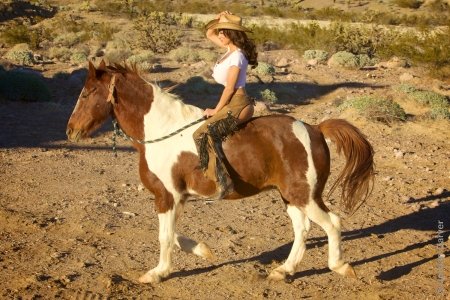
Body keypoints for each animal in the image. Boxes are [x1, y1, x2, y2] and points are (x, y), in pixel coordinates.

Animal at [66, 61, 376, 284]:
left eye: (86, 93)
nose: (70, 131)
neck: (161, 130)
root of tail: (314, 129)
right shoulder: (176, 197)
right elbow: (173, 233)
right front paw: (202, 250)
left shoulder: (166, 195)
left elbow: (165, 236)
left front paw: (157, 273)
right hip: (291, 197)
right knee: (302, 229)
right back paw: (283, 271)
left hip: (305, 196)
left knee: (332, 223)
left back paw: (340, 266)